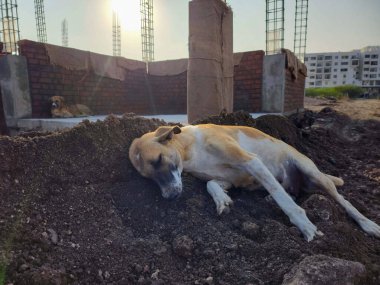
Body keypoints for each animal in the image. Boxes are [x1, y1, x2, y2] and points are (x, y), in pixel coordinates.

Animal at [130, 123, 380, 241]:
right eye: (148, 177)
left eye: (159, 159)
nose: (170, 197)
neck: (191, 149)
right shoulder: (229, 180)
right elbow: (211, 184)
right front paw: (222, 200)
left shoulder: (251, 162)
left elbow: (287, 204)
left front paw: (304, 224)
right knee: (289, 191)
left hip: (314, 173)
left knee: (344, 202)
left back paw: (368, 225)